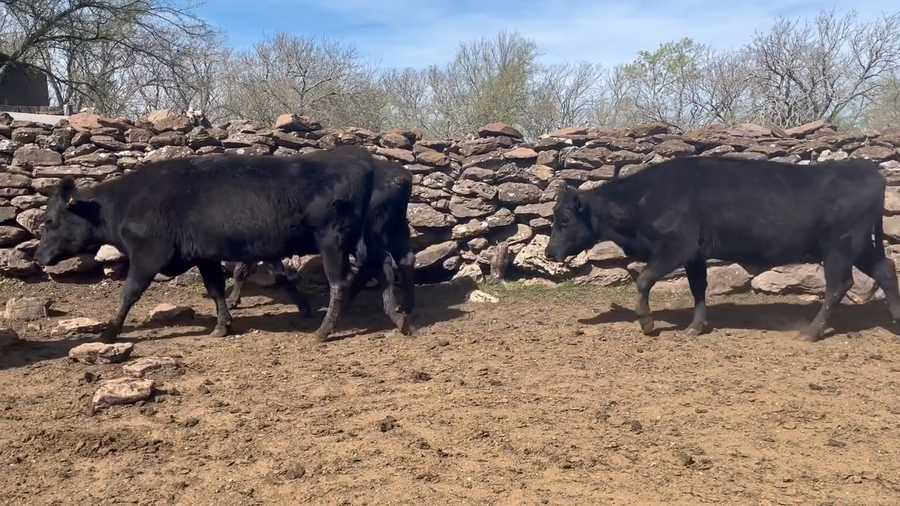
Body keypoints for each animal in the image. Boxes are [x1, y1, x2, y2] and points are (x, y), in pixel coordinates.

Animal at [33, 145, 379, 343]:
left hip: (332, 241)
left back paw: (324, 331)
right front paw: (222, 325)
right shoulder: (205, 255)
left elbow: (129, 293)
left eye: (49, 221)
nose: (38, 256)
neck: (126, 203)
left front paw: (108, 332)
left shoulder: (147, 255)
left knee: (339, 283)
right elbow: (215, 290)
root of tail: (358, 161)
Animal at [544, 156, 900, 342]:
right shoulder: (695, 255)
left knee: (838, 285)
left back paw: (810, 332)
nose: (548, 253)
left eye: (564, 219)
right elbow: (698, 288)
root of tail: (867, 169)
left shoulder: (676, 247)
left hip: (840, 246)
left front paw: (647, 323)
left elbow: (644, 280)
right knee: (886, 270)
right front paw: (695, 326)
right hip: (860, 246)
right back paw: (896, 321)